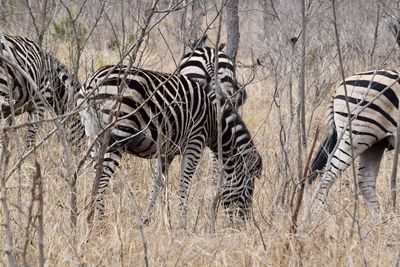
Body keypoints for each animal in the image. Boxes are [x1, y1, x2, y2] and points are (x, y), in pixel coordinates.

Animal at [78, 65, 264, 226]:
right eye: (249, 190)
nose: (243, 227)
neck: (214, 121)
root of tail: (93, 81)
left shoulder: (167, 152)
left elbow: (157, 183)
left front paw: (147, 220)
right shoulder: (195, 142)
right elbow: (184, 184)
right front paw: (182, 224)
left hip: (94, 137)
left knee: (96, 175)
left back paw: (92, 219)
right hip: (117, 135)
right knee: (100, 180)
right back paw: (100, 222)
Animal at [308, 69, 398, 216]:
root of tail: (340, 84)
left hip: (375, 143)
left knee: (365, 182)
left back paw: (378, 219)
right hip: (356, 136)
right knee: (328, 175)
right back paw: (316, 214)